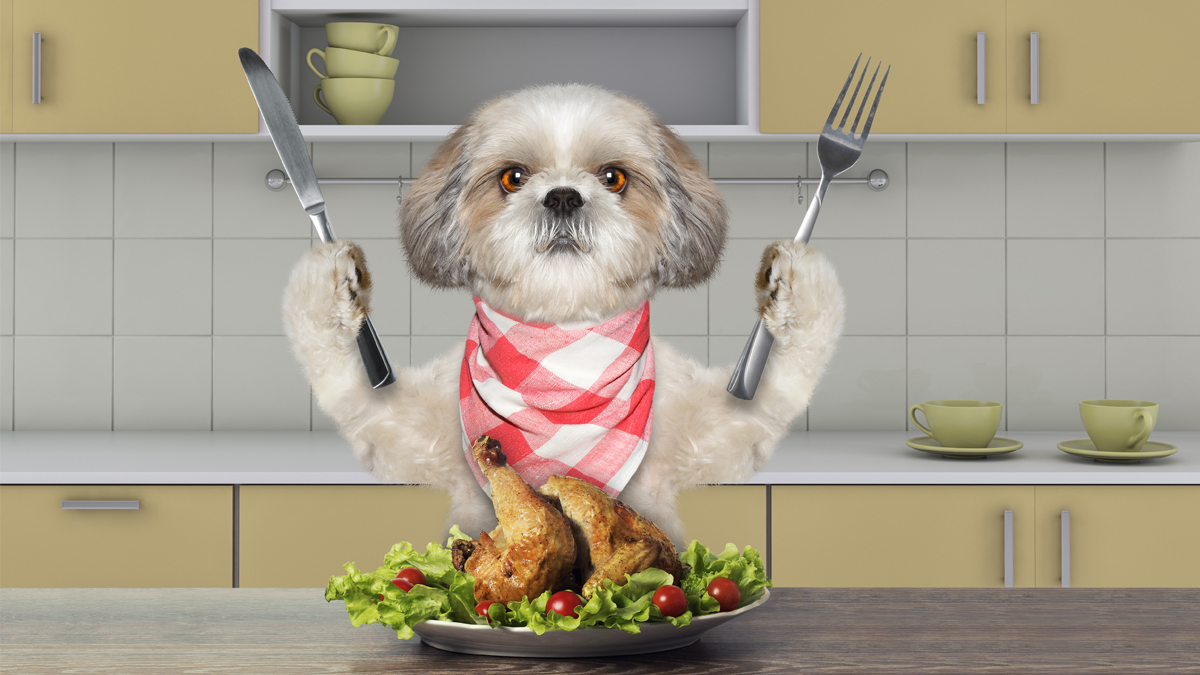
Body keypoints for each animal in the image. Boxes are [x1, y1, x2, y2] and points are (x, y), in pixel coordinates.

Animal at [280, 85, 844, 547]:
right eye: (513, 178)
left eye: (614, 177)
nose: (564, 196)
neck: (562, 359)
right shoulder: (400, 431)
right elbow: (350, 390)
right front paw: (331, 275)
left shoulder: (718, 434)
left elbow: (774, 396)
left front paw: (796, 276)